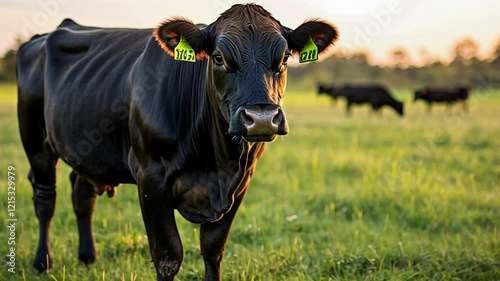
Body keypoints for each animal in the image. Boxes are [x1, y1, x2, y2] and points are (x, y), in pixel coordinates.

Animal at [15, 4, 338, 280]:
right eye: (219, 58)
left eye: (283, 58)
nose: (260, 118)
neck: (218, 163)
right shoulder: (151, 178)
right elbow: (168, 256)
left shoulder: (241, 182)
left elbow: (213, 250)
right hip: (34, 139)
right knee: (45, 198)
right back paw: (43, 262)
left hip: (87, 147)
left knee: (82, 193)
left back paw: (88, 256)